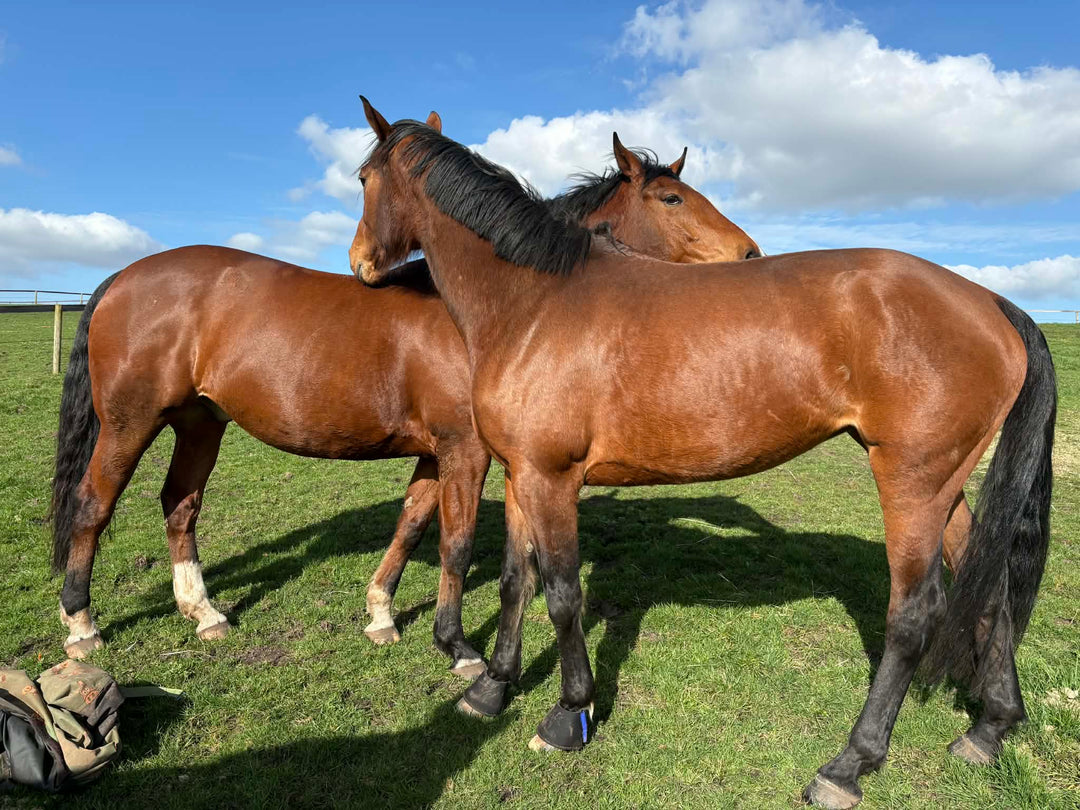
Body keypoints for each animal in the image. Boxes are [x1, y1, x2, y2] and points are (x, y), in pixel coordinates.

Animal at [50, 112, 761, 682]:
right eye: (671, 198)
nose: (752, 254)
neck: (503, 301)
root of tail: (124, 275)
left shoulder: (436, 452)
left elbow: (413, 524)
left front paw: (381, 614)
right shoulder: (466, 450)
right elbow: (456, 542)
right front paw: (460, 648)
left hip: (201, 423)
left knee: (180, 506)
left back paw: (204, 613)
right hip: (131, 422)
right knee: (93, 505)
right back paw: (82, 626)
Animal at [349, 99, 1055, 809]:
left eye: (362, 178)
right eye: (672, 197)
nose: (360, 262)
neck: (535, 303)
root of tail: (991, 301)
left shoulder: (552, 479)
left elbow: (563, 595)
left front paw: (568, 714)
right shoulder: (523, 475)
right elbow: (516, 581)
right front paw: (492, 688)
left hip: (911, 483)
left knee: (914, 614)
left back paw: (848, 765)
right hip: (946, 485)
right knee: (989, 592)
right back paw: (989, 729)